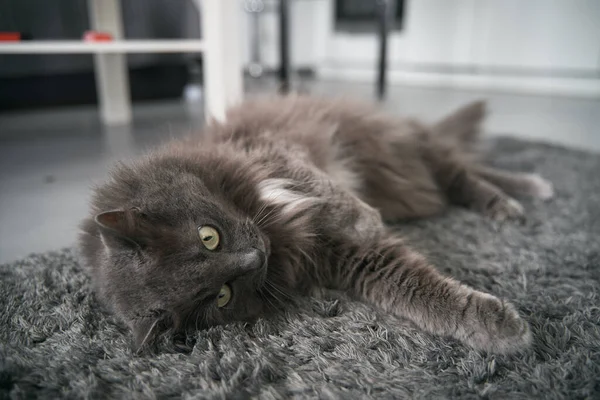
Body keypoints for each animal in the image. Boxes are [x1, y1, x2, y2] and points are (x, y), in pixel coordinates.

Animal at [79, 95, 552, 354]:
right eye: (222, 295)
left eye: (208, 237)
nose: (256, 258)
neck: (275, 229)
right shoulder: (337, 258)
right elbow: (418, 291)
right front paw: (496, 328)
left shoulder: (270, 152)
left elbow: (325, 192)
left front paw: (366, 218)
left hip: (411, 148)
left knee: (466, 175)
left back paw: (523, 193)